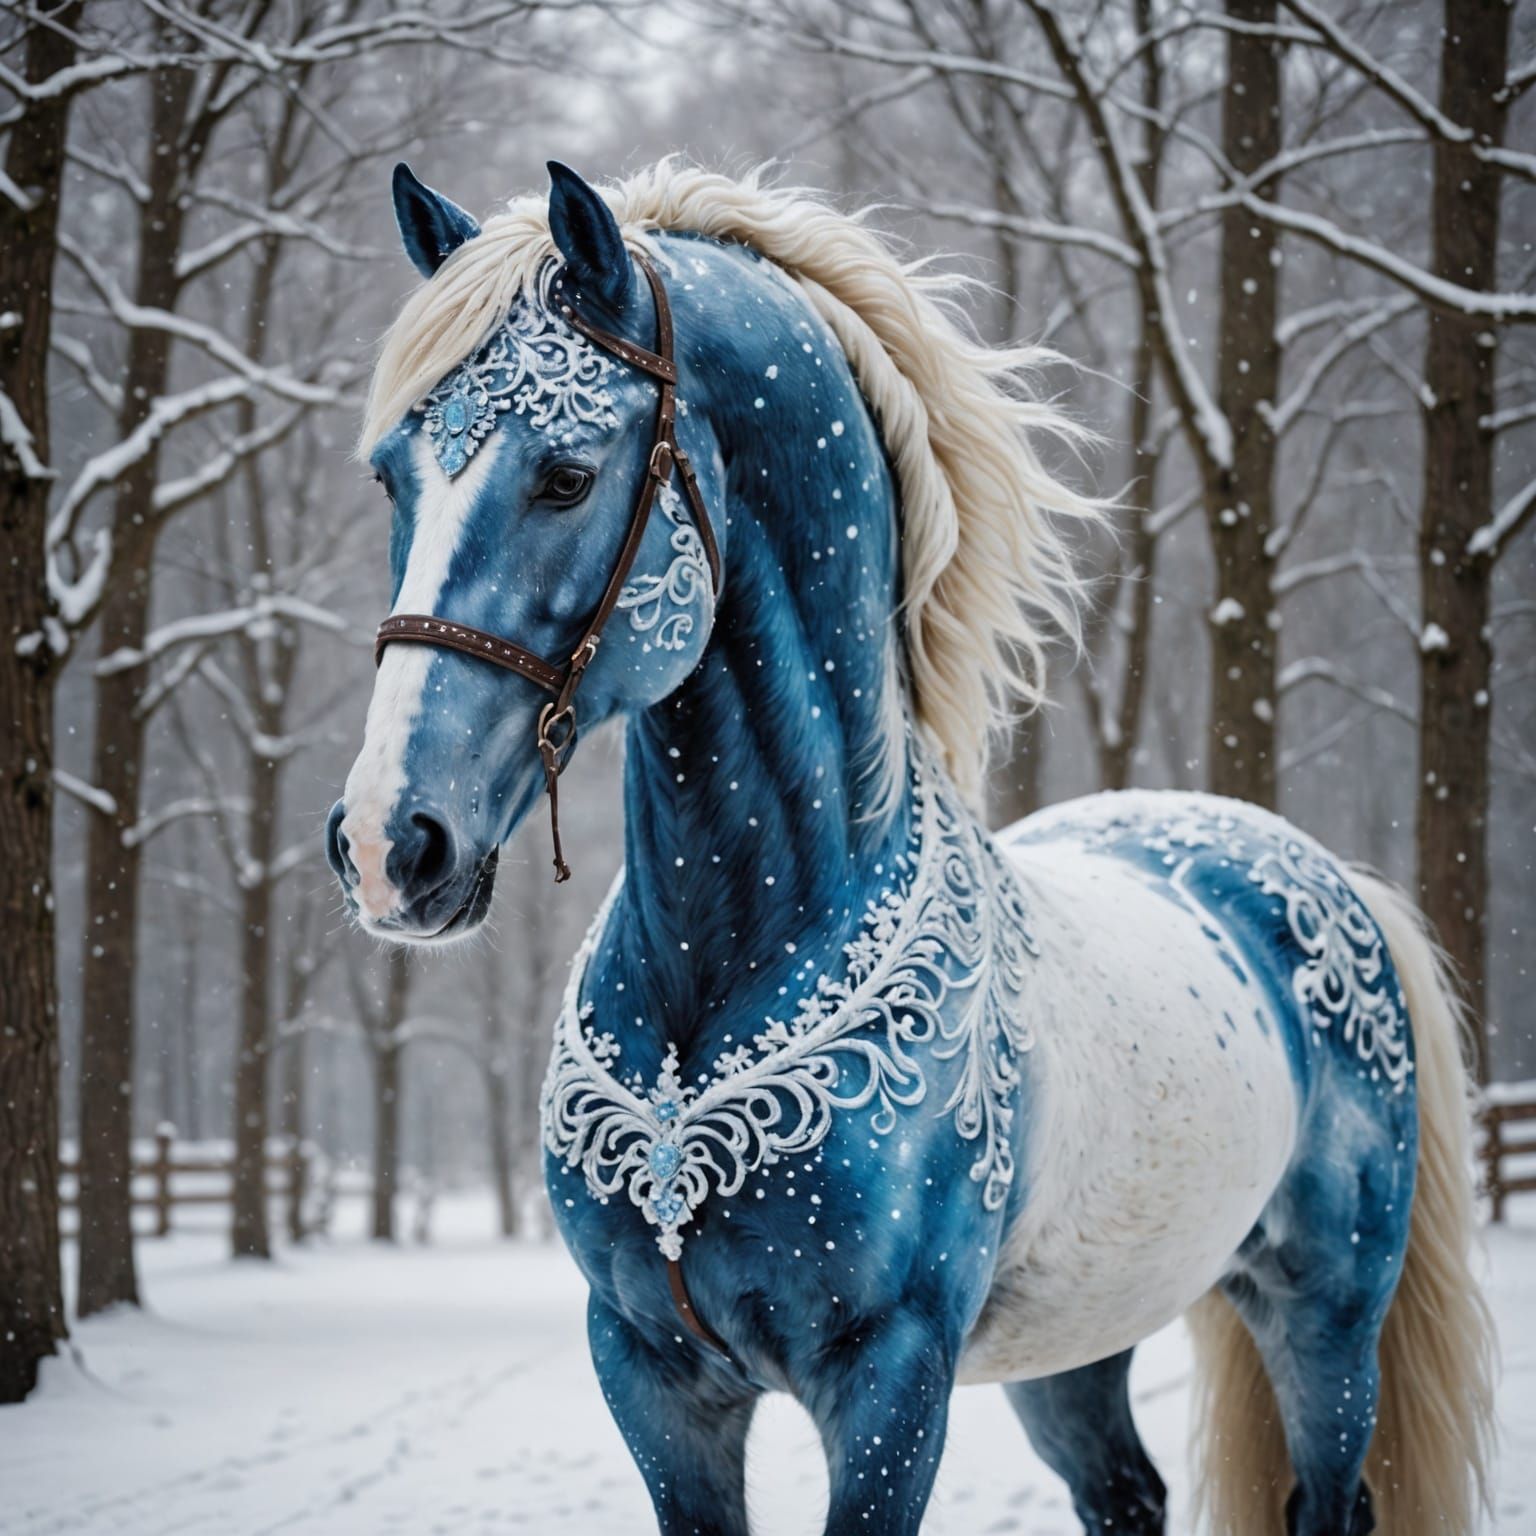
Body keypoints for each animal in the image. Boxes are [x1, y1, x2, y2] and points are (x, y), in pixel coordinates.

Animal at [324, 159, 1495, 1535]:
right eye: (395, 477)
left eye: (564, 474)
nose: (388, 843)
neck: (723, 985)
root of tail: (1321, 880)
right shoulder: (653, 1379)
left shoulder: (890, 1382)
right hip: (1078, 1347)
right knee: (1125, 1495)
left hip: (1327, 1318)